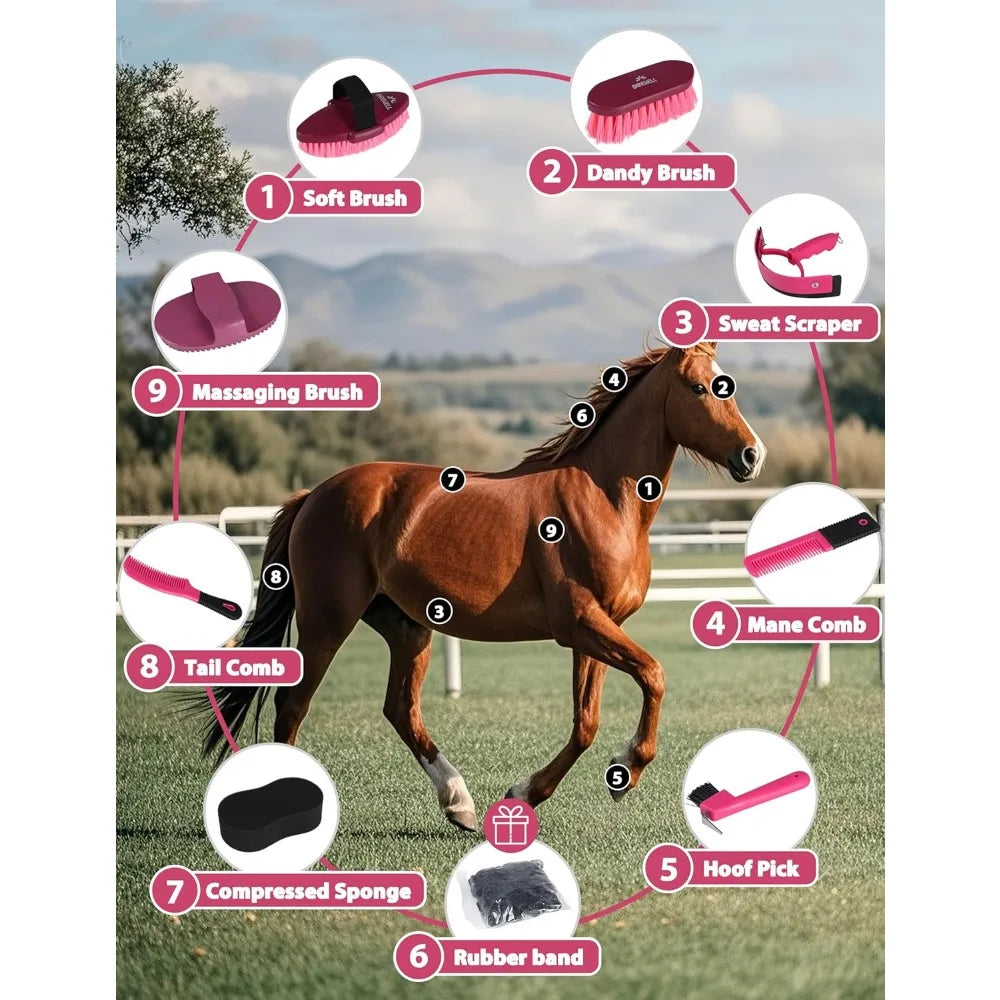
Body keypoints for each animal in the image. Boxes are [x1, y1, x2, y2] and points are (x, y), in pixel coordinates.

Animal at [195, 342, 766, 831]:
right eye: (700, 388)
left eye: (727, 386)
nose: (752, 456)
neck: (605, 499)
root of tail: (314, 495)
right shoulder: (580, 623)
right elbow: (653, 675)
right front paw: (625, 770)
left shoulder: (598, 628)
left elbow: (586, 722)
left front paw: (526, 794)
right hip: (327, 620)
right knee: (293, 706)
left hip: (407, 626)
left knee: (400, 710)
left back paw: (460, 803)